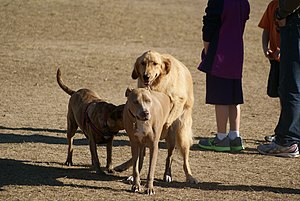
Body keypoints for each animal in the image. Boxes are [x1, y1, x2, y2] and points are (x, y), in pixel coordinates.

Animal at [116, 50, 198, 184]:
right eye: (142, 63)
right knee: (139, 157)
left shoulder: (178, 100)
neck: (156, 85)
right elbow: (138, 158)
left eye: (155, 63)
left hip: (182, 134)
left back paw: (187, 176)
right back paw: (127, 169)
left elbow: (168, 117)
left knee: (178, 159)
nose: (146, 76)